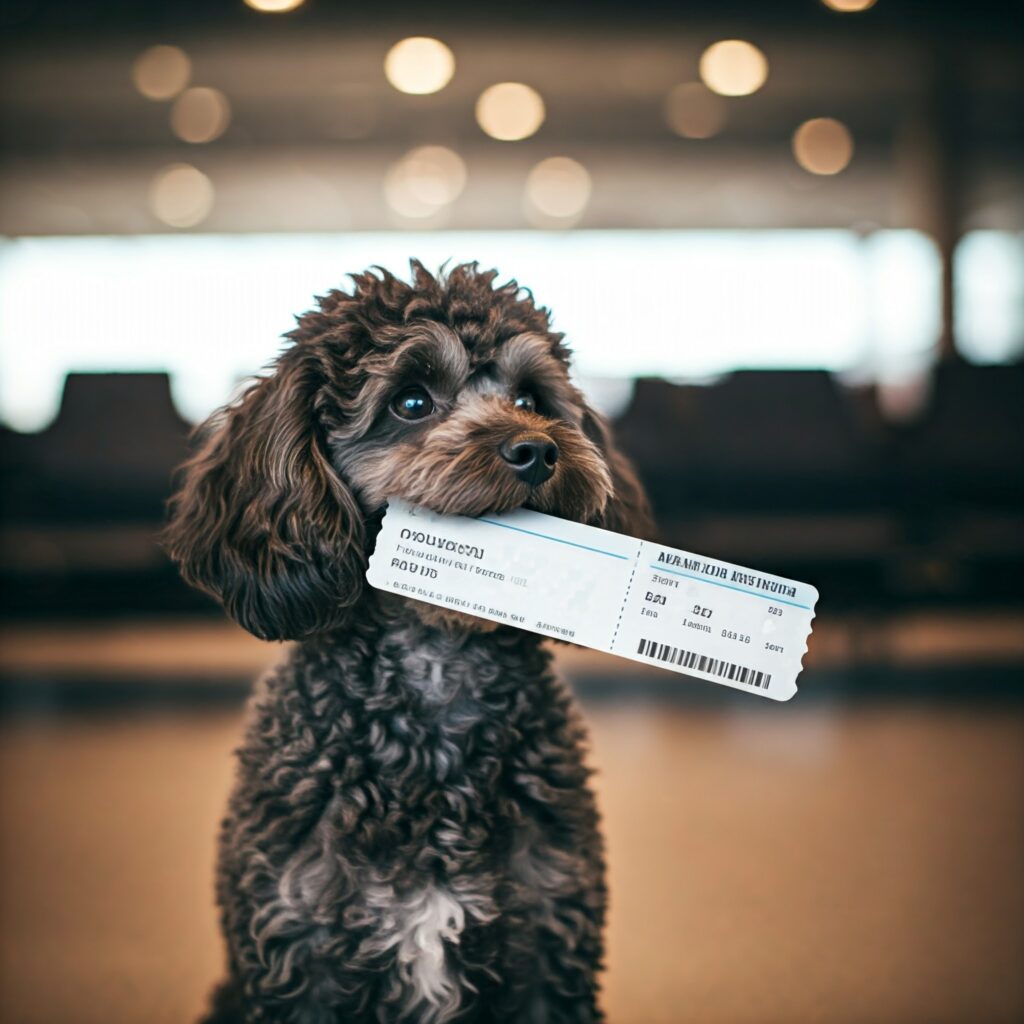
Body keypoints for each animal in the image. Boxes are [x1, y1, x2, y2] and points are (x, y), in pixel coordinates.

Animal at [164, 266, 651, 1024]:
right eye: (412, 401)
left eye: (529, 399)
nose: (539, 449)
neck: (437, 669)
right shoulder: (297, 952)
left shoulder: (552, 942)